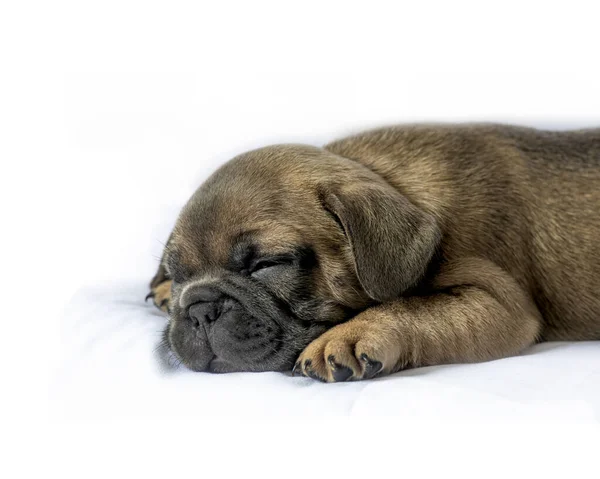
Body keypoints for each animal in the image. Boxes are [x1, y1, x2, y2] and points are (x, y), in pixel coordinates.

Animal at [146, 124, 600, 382]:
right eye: (179, 272)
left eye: (267, 265)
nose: (199, 308)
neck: (390, 180)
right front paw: (165, 290)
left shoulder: (498, 302)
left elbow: (414, 306)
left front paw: (349, 335)